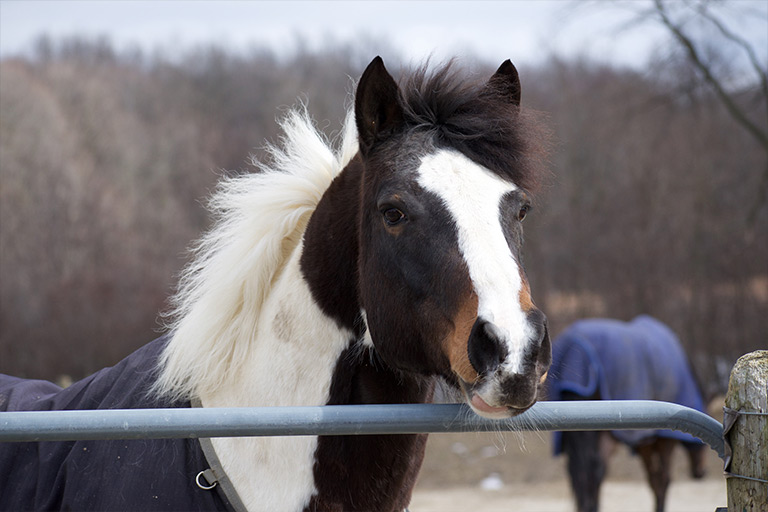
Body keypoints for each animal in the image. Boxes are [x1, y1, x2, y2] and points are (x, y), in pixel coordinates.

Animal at [544, 316, 708, 512]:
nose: (701, 472)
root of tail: (576, 346)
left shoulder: (645, 442)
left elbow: (654, 480)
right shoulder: (665, 440)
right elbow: (664, 480)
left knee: (580, 471)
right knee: (596, 468)